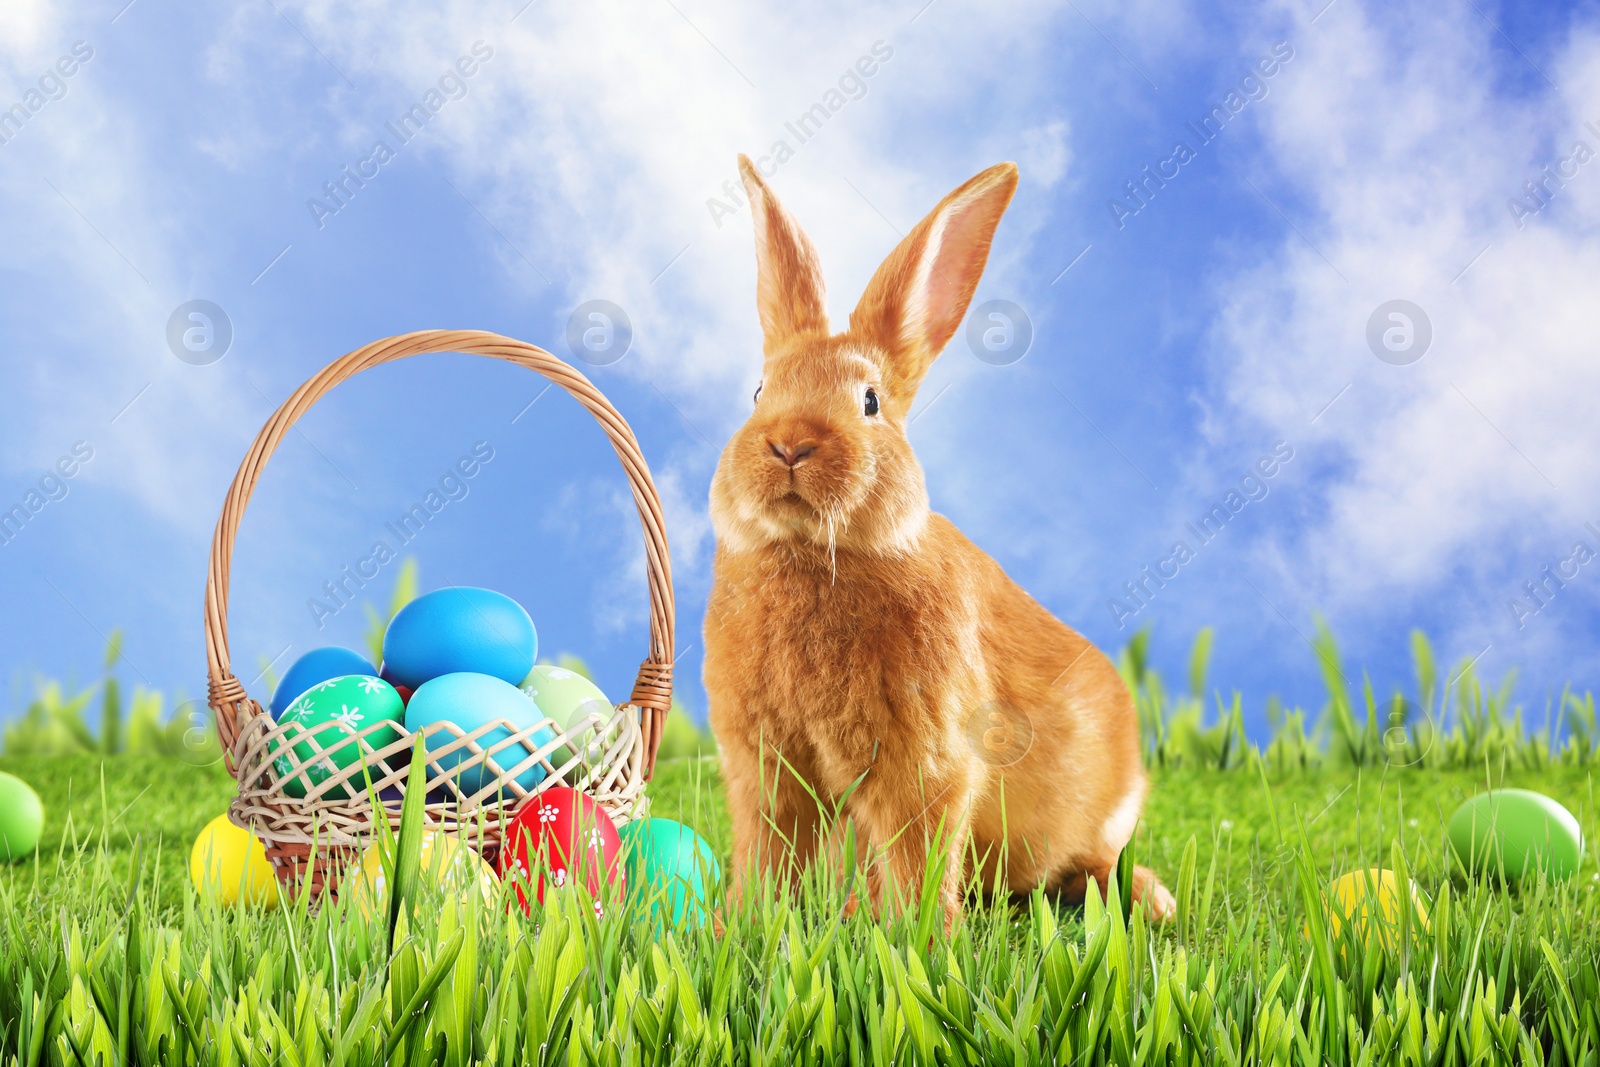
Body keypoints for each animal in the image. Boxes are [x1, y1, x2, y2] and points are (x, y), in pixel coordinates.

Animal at [704, 151, 1177, 927]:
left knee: (1093, 865)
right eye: (758, 392)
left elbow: (915, 851)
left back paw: (1147, 897)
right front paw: (741, 922)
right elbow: (770, 850)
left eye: (870, 402)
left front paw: (915, 936)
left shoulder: (925, 761)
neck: (813, 552)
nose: (789, 444)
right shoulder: (768, 768)